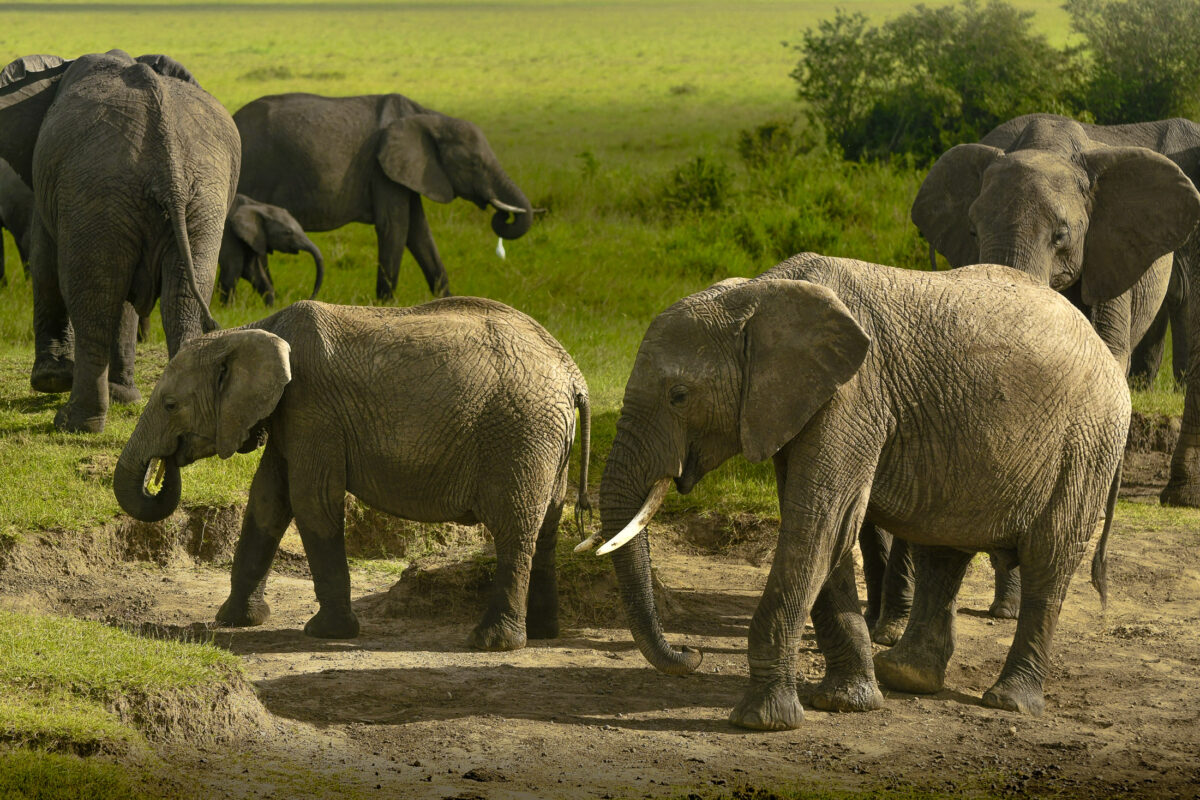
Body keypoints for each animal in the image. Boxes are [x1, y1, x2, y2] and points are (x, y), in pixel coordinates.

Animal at [0, 51, 240, 433]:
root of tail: (167, 162)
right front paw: (124, 397)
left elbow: (45, 264)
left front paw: (50, 380)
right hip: (200, 196)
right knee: (180, 300)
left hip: (97, 189)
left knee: (95, 301)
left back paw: (74, 422)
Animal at [114, 298, 592, 652]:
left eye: (171, 405)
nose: (166, 465)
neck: (250, 331)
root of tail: (574, 376)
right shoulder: (292, 416)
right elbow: (267, 501)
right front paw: (234, 620)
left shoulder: (313, 408)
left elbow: (312, 501)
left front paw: (325, 633)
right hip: (547, 441)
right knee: (546, 525)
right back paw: (543, 633)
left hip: (520, 435)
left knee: (514, 528)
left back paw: (492, 643)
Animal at [233, 92, 533, 301]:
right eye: (473, 164)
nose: (502, 215)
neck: (430, 117)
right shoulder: (383, 171)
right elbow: (395, 227)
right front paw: (385, 305)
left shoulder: (408, 173)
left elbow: (419, 232)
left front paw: (450, 302)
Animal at [592, 253, 1128, 730]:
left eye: (679, 396)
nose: (693, 653)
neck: (760, 294)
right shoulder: (798, 404)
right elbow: (825, 529)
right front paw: (847, 703)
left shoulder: (853, 397)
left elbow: (820, 523)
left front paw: (764, 721)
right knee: (944, 550)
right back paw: (907, 677)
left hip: (1087, 444)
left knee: (1047, 560)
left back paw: (1008, 702)